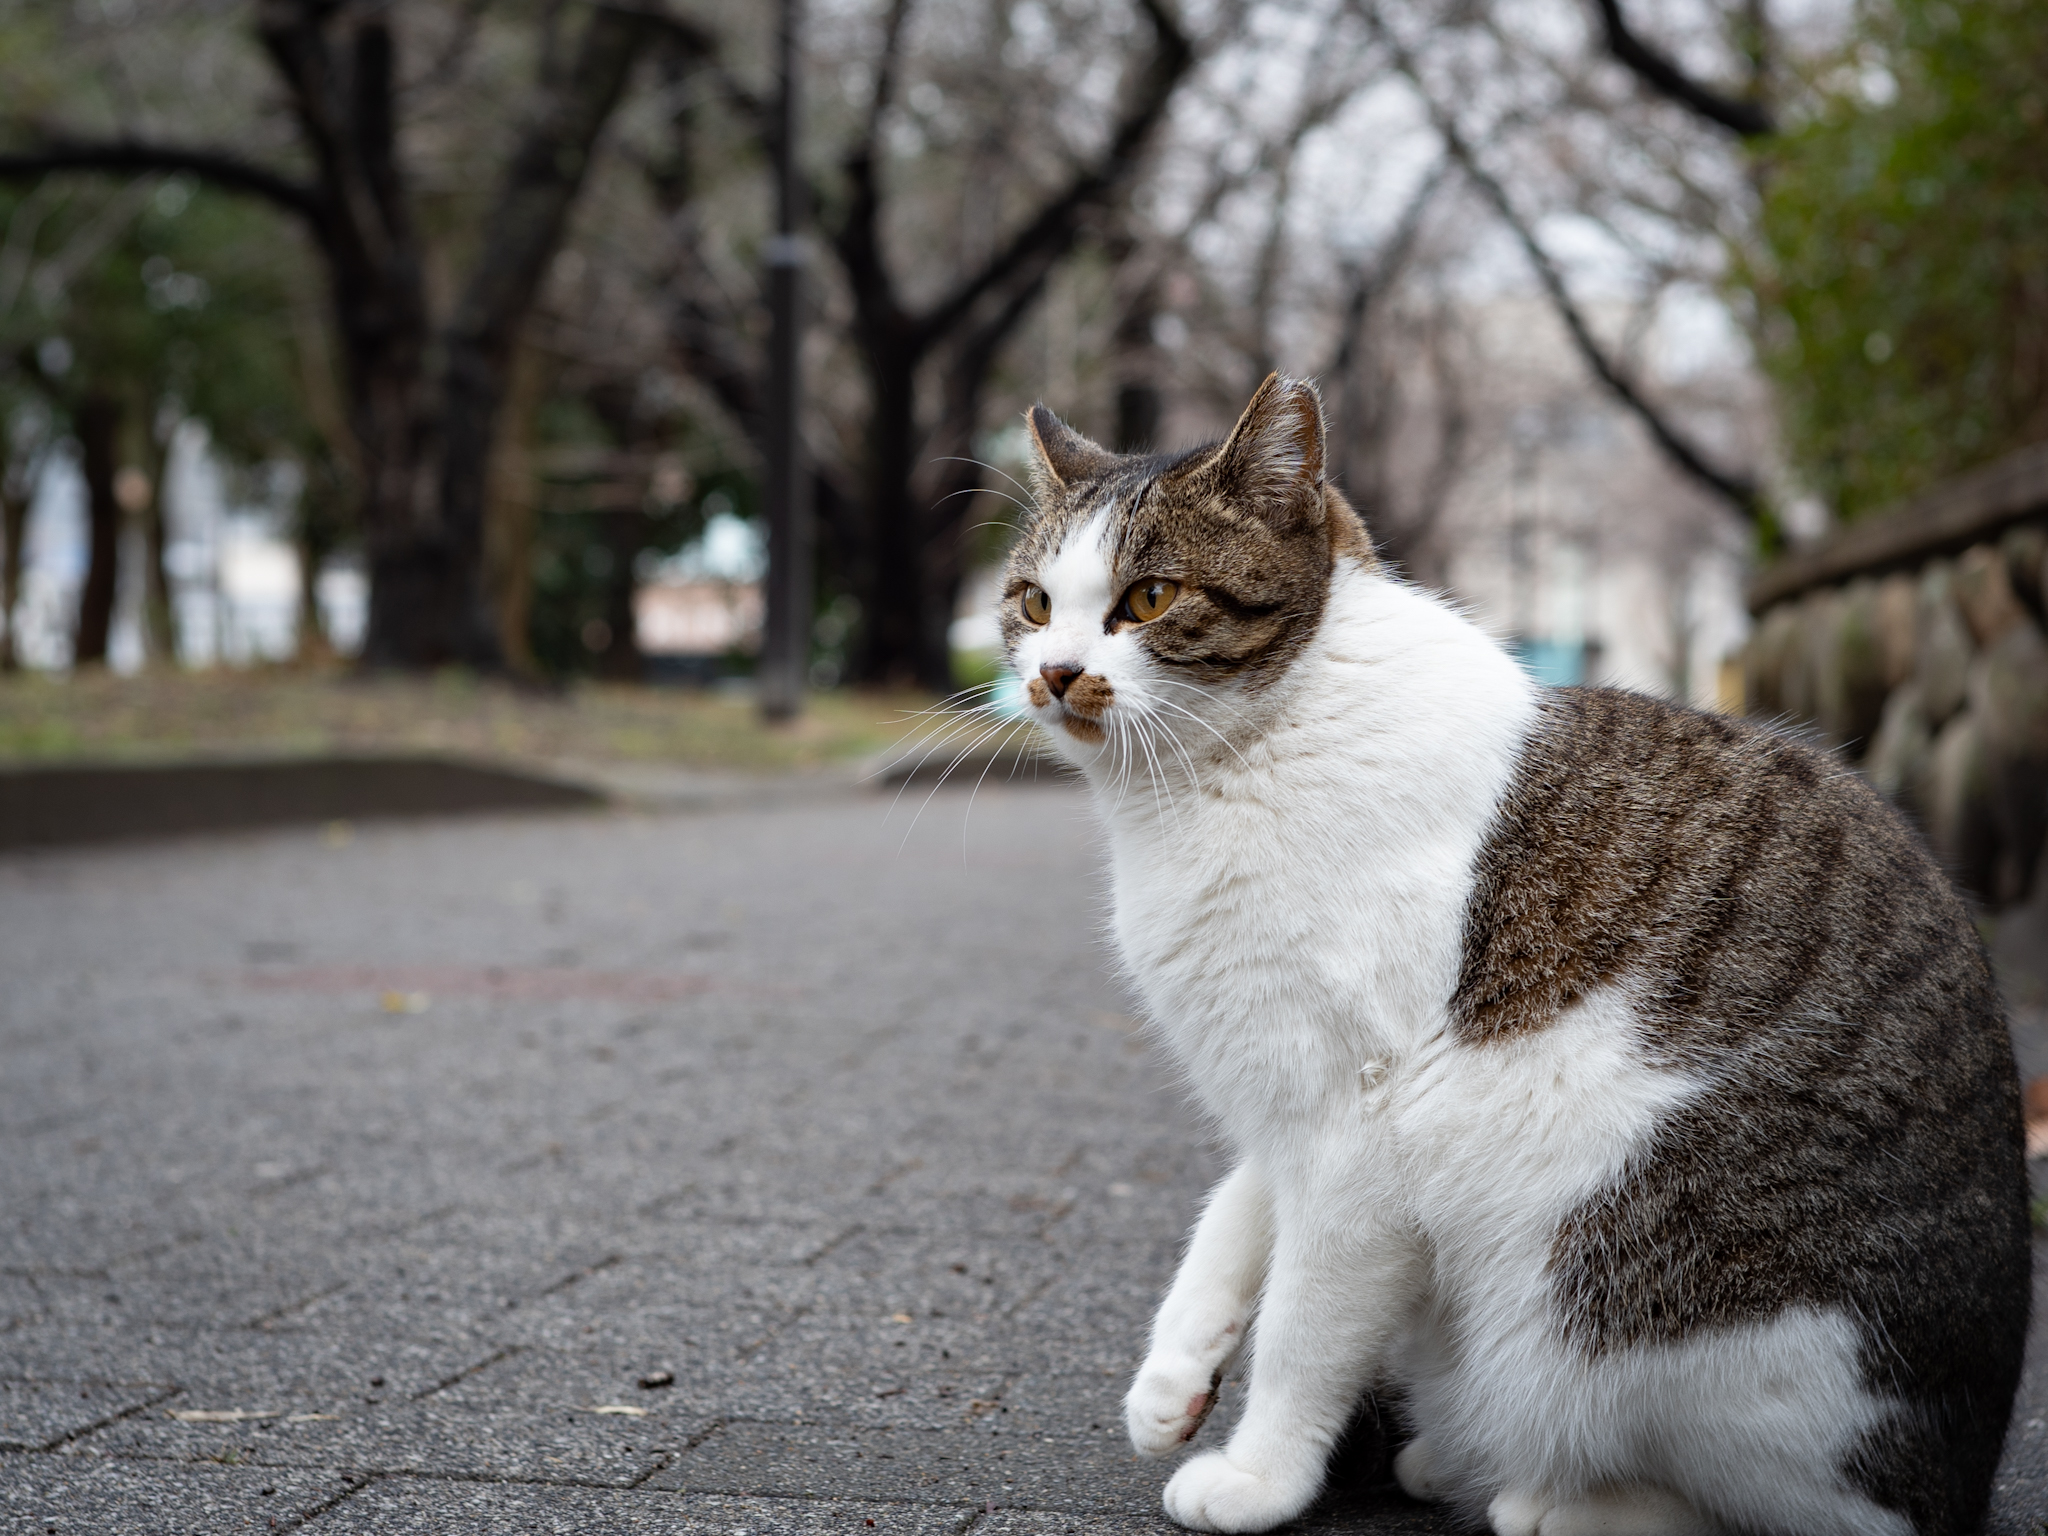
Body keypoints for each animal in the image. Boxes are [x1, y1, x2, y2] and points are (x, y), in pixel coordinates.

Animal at [991, 376, 2031, 1536]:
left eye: (1150, 598)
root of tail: (1961, 1476)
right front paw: (1173, 1374)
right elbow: (1236, 1204)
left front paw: (1259, 1476)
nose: (1055, 674)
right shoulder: (1285, 1082)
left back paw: (1557, 1500)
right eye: (1032, 603)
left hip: (1608, 1277)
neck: (1221, 767)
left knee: (1784, 1507)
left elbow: (1304, 1328)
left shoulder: (1362, 1130)